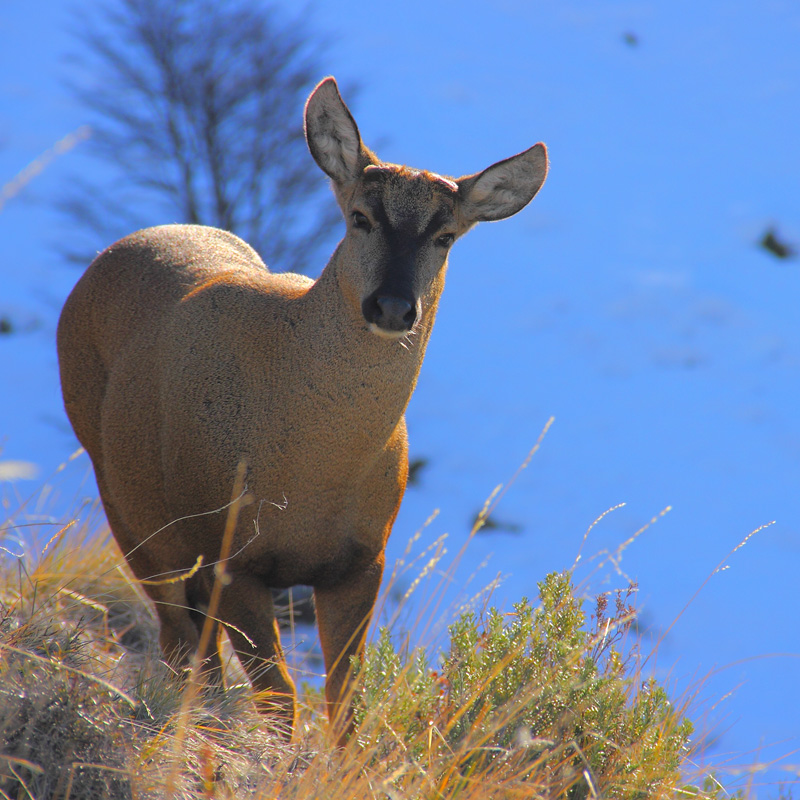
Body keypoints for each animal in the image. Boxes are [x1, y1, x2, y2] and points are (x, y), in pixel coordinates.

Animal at [57, 76, 548, 743]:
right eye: (359, 217)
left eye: (446, 237)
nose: (393, 306)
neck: (313, 470)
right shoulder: (231, 551)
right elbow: (280, 698)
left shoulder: (362, 559)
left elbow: (345, 702)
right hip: (130, 508)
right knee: (180, 643)